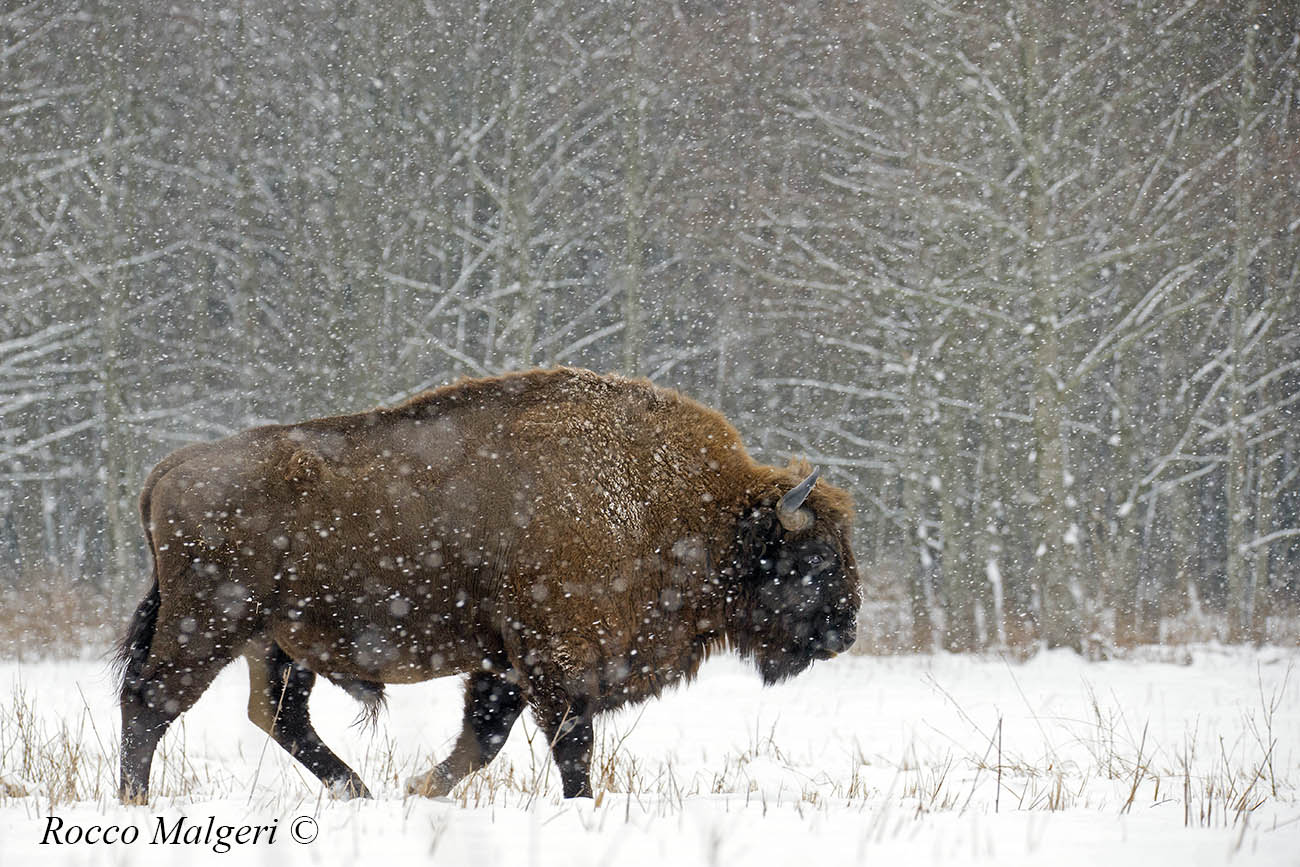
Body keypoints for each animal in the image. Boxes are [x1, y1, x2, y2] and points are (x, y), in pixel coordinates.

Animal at [116, 367, 860, 802]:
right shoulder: (554, 658)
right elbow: (569, 744)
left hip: (275, 642)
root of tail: (172, 467)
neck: (687, 509)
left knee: (279, 715)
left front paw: (418, 789)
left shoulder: (504, 664)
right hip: (209, 624)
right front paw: (579, 808)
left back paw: (361, 791)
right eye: (817, 558)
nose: (847, 630)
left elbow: (483, 739)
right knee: (150, 701)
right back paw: (136, 801)